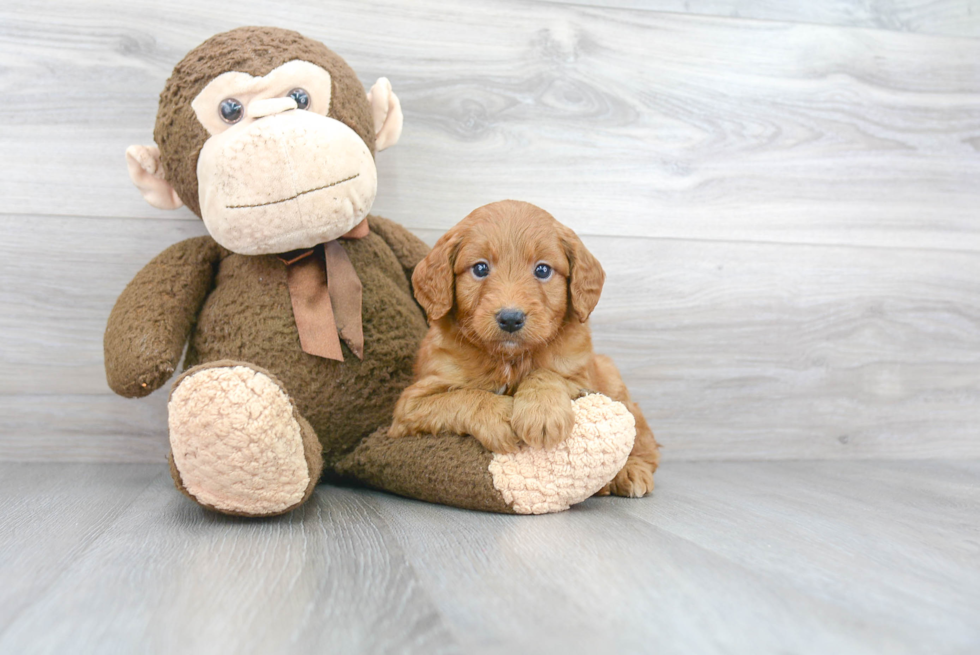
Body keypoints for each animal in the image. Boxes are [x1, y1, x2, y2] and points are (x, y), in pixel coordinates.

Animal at [388, 200, 660, 498]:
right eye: (480, 268)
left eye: (542, 270)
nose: (510, 318)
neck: (509, 359)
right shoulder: (410, 405)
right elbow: (462, 396)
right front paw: (500, 415)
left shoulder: (581, 378)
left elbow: (546, 374)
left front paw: (542, 412)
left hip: (615, 383)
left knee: (645, 443)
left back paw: (631, 471)